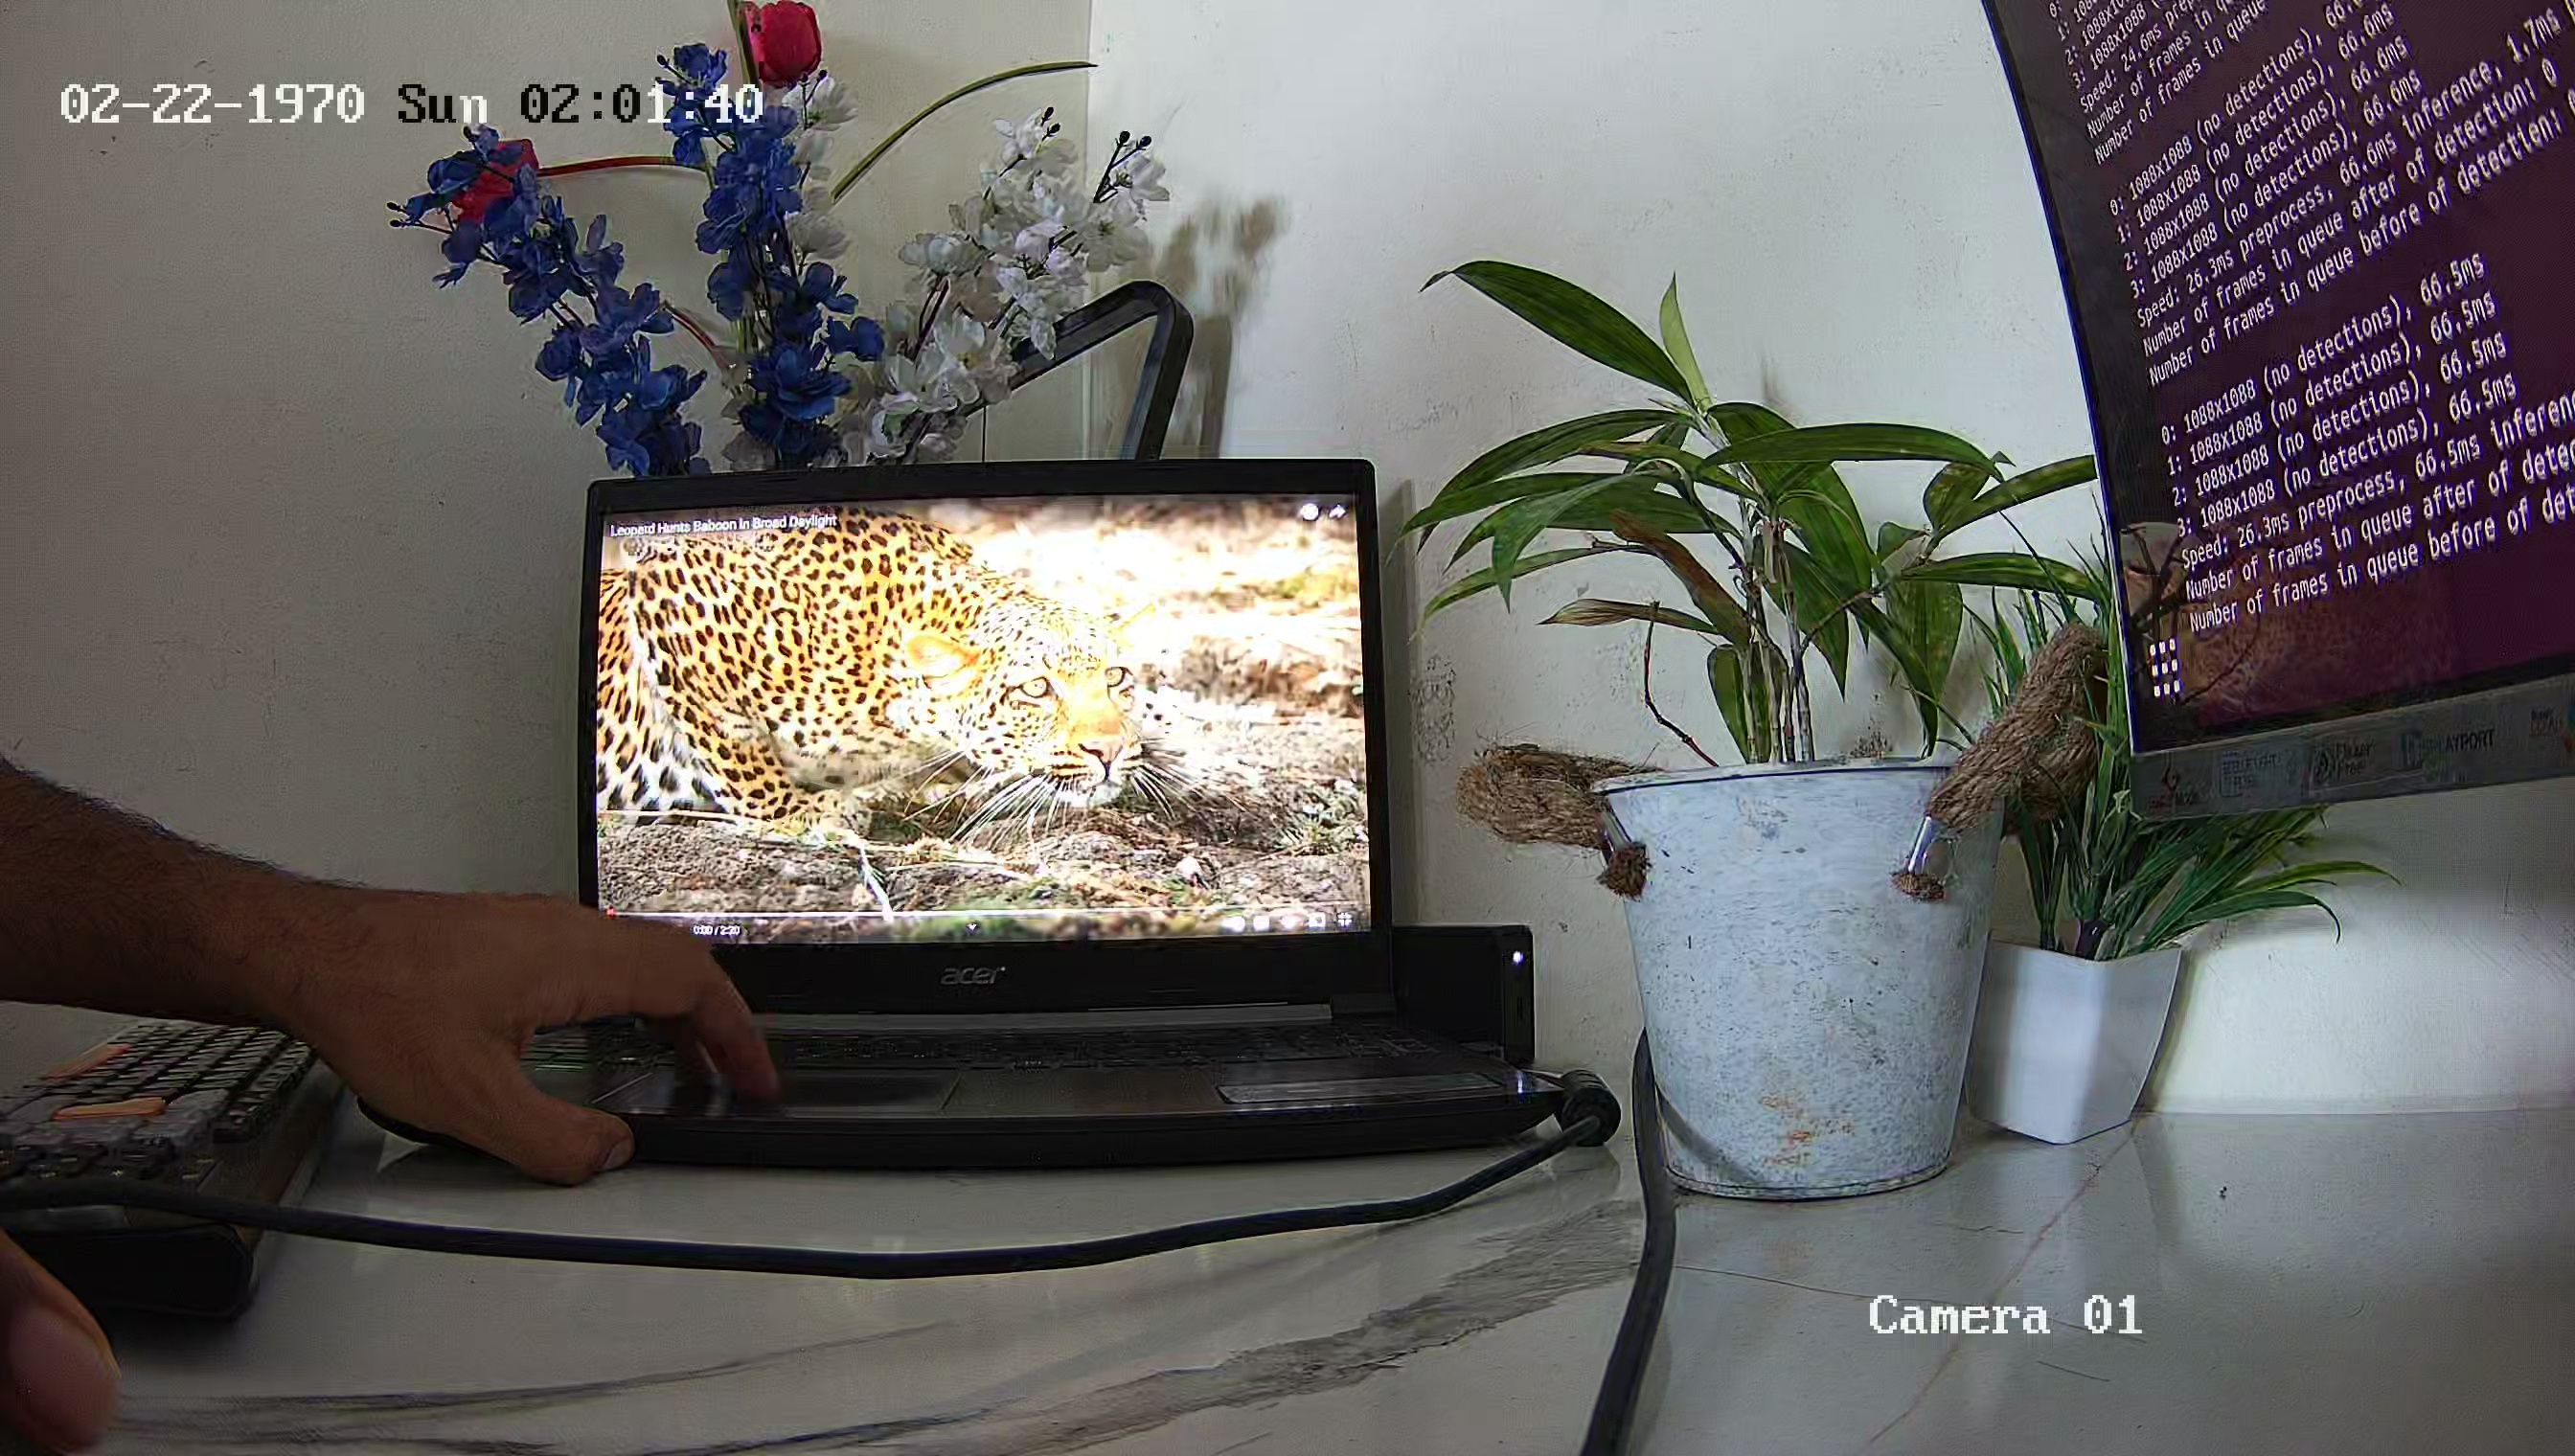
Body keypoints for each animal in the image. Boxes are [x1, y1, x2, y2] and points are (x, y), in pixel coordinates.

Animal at [595, 508, 1167, 838]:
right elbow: (738, 754)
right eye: (1036, 689)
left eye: (1116, 678)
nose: (1109, 751)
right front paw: (801, 814)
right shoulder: (670, 584)